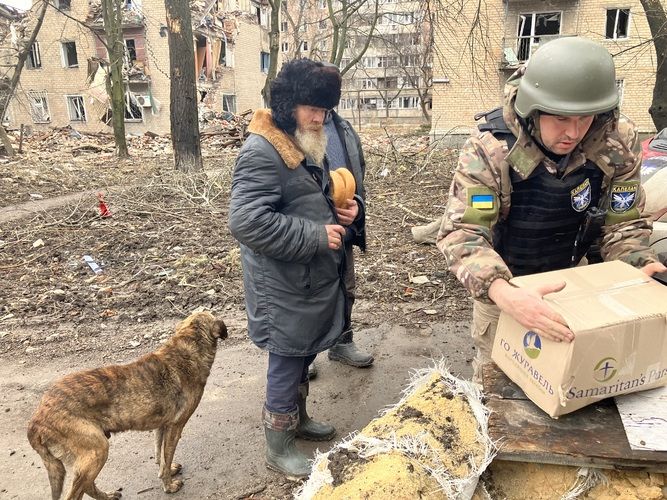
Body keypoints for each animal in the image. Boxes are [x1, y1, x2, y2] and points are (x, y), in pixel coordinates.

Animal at [26, 310, 227, 498]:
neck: (186, 347)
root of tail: (35, 421)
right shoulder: (175, 427)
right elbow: (166, 457)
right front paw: (169, 486)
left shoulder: (162, 426)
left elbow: (160, 456)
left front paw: (168, 471)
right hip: (97, 450)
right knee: (77, 492)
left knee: (87, 486)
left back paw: (107, 496)